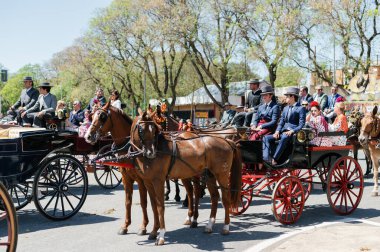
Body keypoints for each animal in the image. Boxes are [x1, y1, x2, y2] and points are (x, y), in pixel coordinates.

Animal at [84, 103, 159, 240]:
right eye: (92, 116)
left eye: (102, 117)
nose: (88, 136)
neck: (129, 147)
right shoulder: (125, 178)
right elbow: (127, 202)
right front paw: (125, 226)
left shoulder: (141, 180)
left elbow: (143, 202)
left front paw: (143, 227)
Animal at [131, 111, 240, 245]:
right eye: (141, 129)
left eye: (154, 129)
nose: (151, 153)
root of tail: (227, 141)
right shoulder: (148, 182)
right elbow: (153, 206)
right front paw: (153, 232)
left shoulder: (158, 181)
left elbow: (160, 207)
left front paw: (161, 235)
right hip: (209, 175)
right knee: (214, 197)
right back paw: (209, 225)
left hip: (222, 175)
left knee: (225, 199)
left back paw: (226, 227)